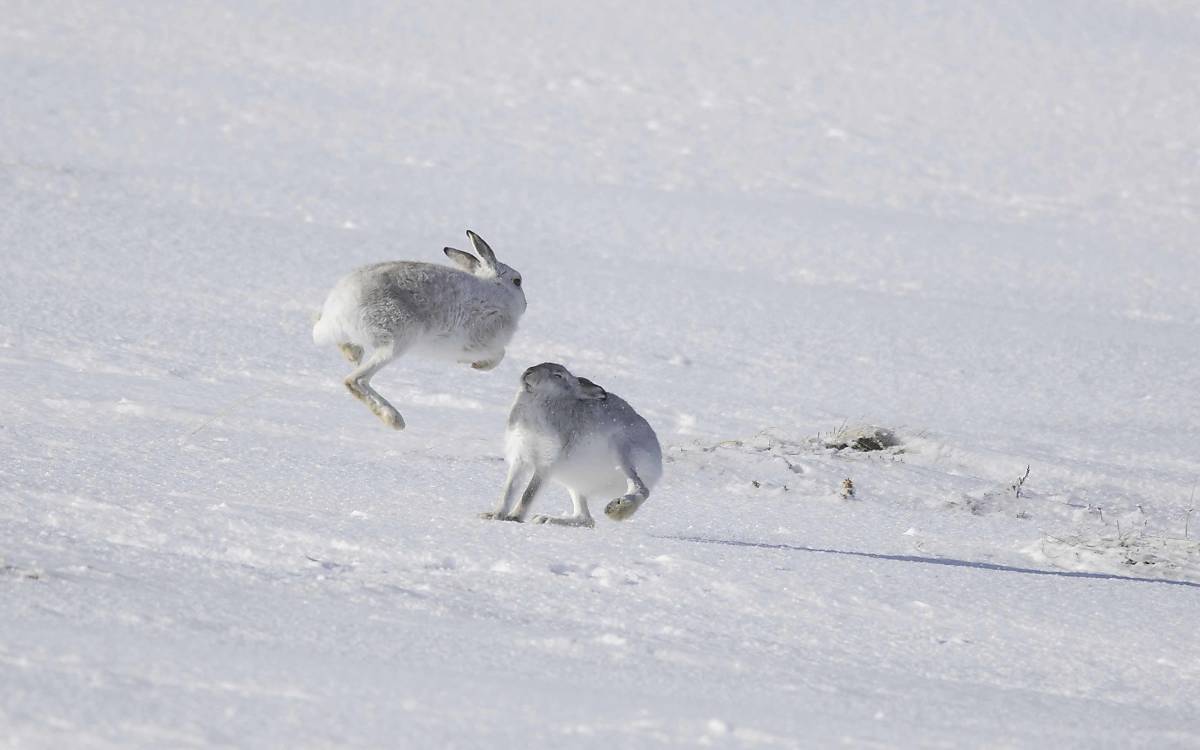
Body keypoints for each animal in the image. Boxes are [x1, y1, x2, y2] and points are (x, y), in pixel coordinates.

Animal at [312, 230, 526, 430]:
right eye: (517, 281)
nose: (525, 304)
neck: (498, 291)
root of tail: (338, 311)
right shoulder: (480, 339)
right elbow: (500, 354)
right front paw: (478, 365)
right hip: (397, 340)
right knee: (354, 381)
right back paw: (394, 419)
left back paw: (352, 353)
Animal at [481, 362, 663, 528]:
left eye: (558, 375)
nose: (528, 372)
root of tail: (657, 461)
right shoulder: (520, 459)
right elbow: (508, 490)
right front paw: (495, 516)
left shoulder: (546, 462)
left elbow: (529, 493)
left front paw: (514, 517)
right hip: (576, 485)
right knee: (586, 519)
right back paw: (546, 519)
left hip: (622, 451)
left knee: (640, 488)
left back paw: (617, 509)